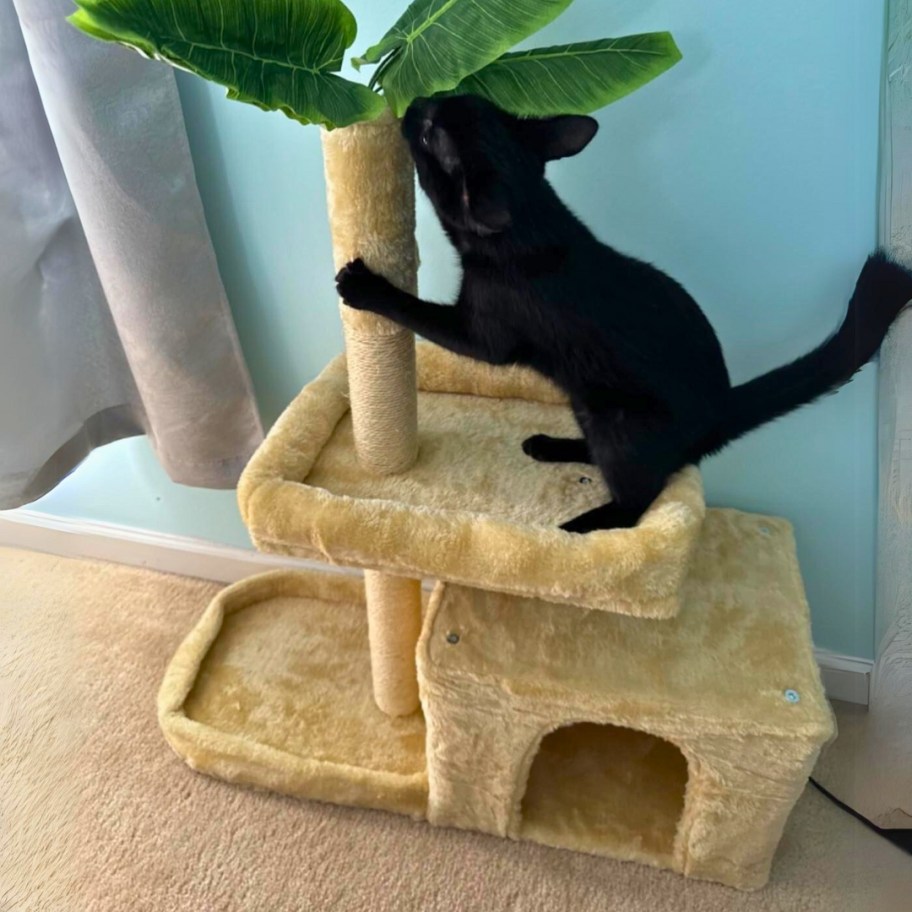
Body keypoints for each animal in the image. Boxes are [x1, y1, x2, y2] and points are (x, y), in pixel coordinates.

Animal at [334, 92, 912, 536]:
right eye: (451, 99)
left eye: (431, 134)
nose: (417, 103)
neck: (534, 221)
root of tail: (720, 409)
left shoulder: (486, 334)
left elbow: (419, 313)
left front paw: (364, 287)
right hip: (585, 401)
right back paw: (550, 445)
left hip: (616, 417)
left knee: (635, 501)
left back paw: (576, 532)